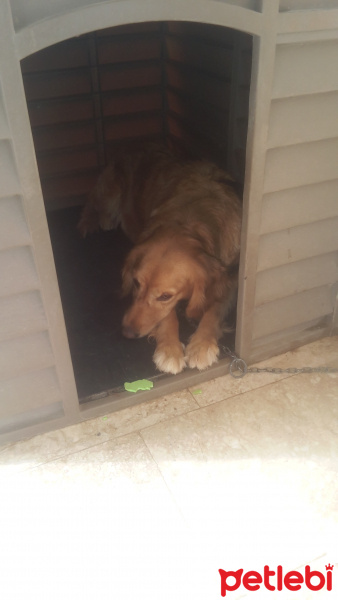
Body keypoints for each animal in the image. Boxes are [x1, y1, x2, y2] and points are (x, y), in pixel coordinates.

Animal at [79, 143, 242, 372]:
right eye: (136, 283)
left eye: (165, 296)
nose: (127, 332)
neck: (192, 221)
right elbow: (168, 317)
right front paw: (170, 349)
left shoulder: (231, 279)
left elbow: (214, 310)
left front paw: (202, 345)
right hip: (109, 192)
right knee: (92, 203)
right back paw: (90, 222)